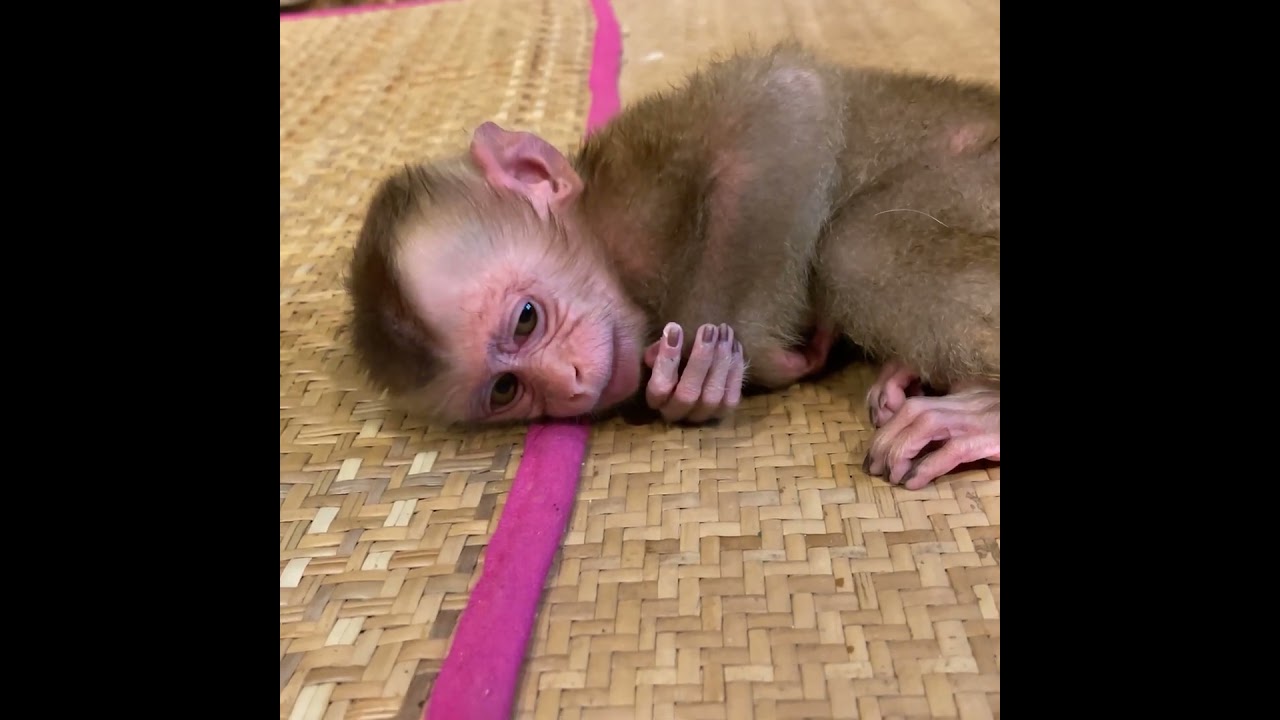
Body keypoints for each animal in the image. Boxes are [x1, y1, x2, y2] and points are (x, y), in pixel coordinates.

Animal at [344, 42, 999, 491]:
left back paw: (981, 411)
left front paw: (729, 365)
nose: (568, 384)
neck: (609, 252)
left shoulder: (639, 188)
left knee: (855, 248)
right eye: (506, 389)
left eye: (526, 319)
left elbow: (786, 101)